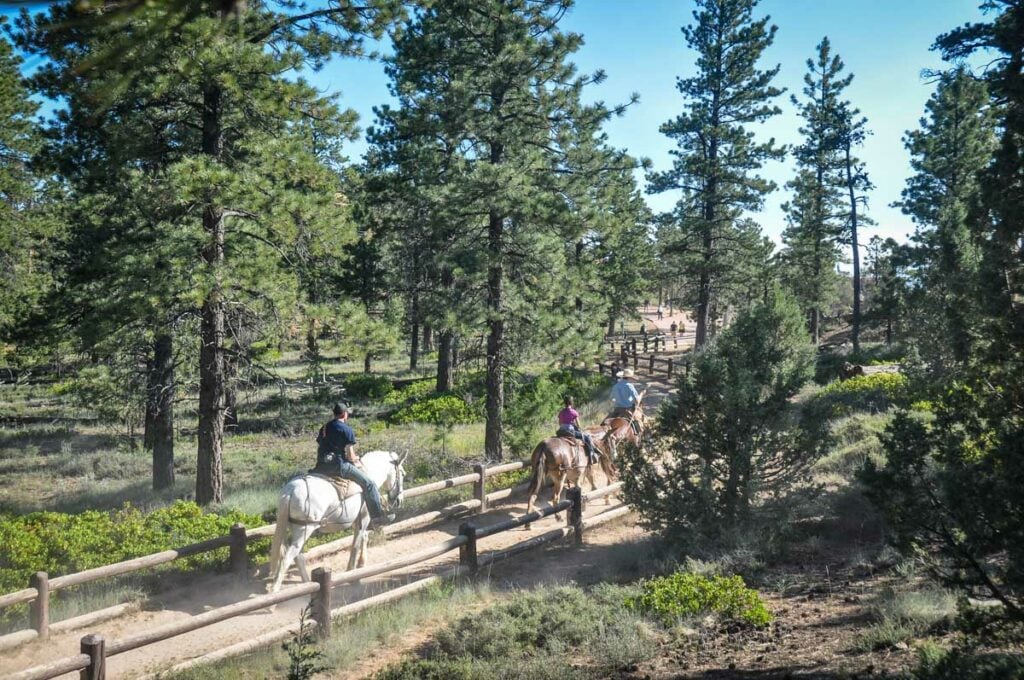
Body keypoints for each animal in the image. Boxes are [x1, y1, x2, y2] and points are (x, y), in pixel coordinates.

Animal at [266, 450, 405, 589]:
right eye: (403, 473)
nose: (399, 500)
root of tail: (289, 491)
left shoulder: (359, 520)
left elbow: (363, 538)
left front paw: (361, 564)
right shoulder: (364, 517)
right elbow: (356, 543)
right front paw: (352, 574)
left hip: (295, 528)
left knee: (297, 556)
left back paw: (307, 583)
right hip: (304, 529)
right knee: (288, 558)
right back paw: (275, 590)